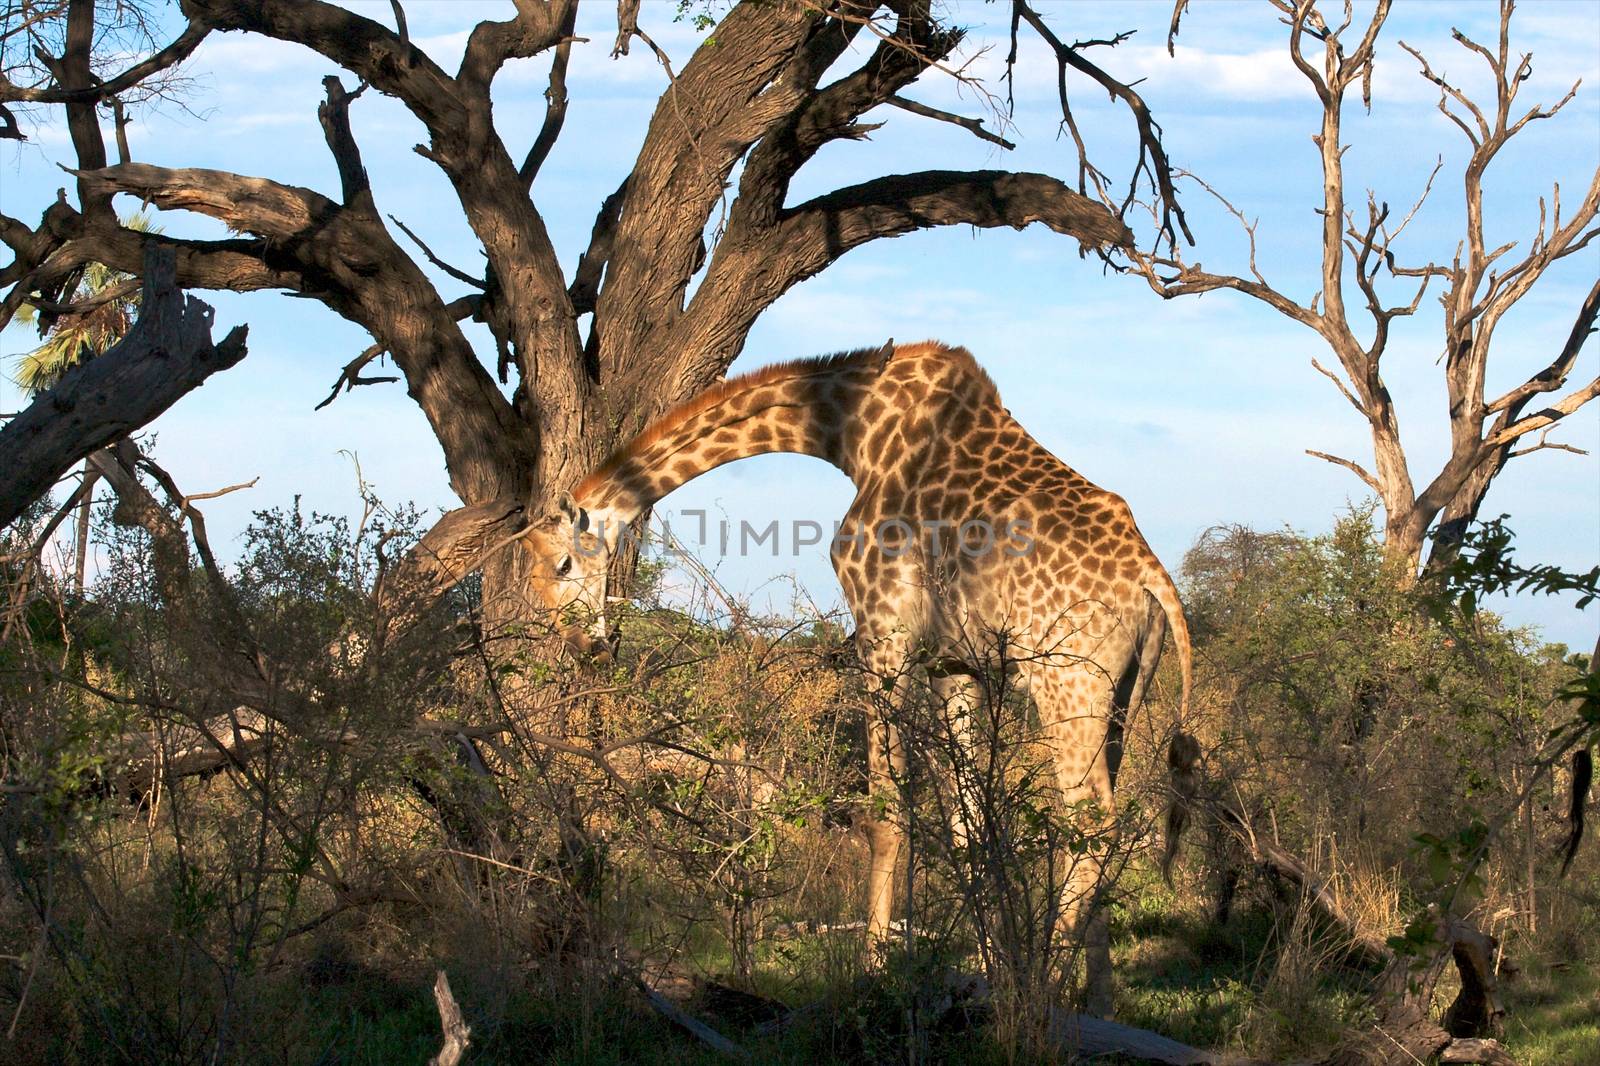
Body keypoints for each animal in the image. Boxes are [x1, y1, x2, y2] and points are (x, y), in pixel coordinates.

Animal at [518, 340, 1196, 1011]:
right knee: (1101, 819)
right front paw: (985, 973)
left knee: (1092, 823)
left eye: (563, 564)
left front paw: (875, 972)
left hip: (1066, 684)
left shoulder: (883, 627)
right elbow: (970, 822)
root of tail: (1152, 581)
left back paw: (1047, 989)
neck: (851, 430)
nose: (583, 646)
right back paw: (1096, 1000)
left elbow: (887, 811)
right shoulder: (953, 661)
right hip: (1119, 693)